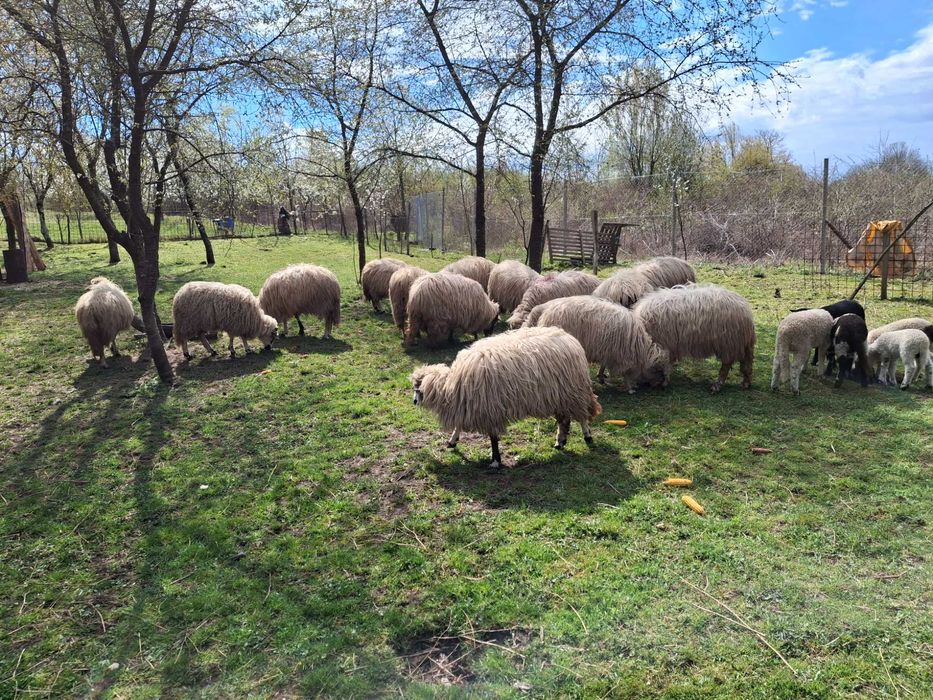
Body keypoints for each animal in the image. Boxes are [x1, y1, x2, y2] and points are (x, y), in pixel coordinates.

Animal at [411, 326, 602, 467]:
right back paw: (560, 442)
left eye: (418, 388)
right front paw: (452, 441)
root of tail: (569, 338)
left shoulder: (488, 410)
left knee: (582, 417)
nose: (413, 401)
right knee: (564, 421)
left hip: (574, 392)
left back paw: (587, 436)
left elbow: (493, 437)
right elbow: (459, 424)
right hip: (559, 397)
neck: (452, 386)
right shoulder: (469, 405)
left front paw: (495, 460)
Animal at [522, 295, 670, 391]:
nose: (661, 386)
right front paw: (630, 388)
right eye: (659, 370)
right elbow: (626, 374)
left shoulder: (608, 352)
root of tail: (545, 309)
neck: (640, 347)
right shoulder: (622, 356)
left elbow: (604, 365)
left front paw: (601, 377)